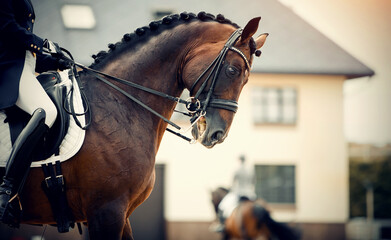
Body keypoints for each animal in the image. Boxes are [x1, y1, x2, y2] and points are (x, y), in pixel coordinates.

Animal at [0, 12, 268, 239]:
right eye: (233, 70)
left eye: (246, 79)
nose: (216, 133)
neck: (116, 102)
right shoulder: (106, 211)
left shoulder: (121, 214)